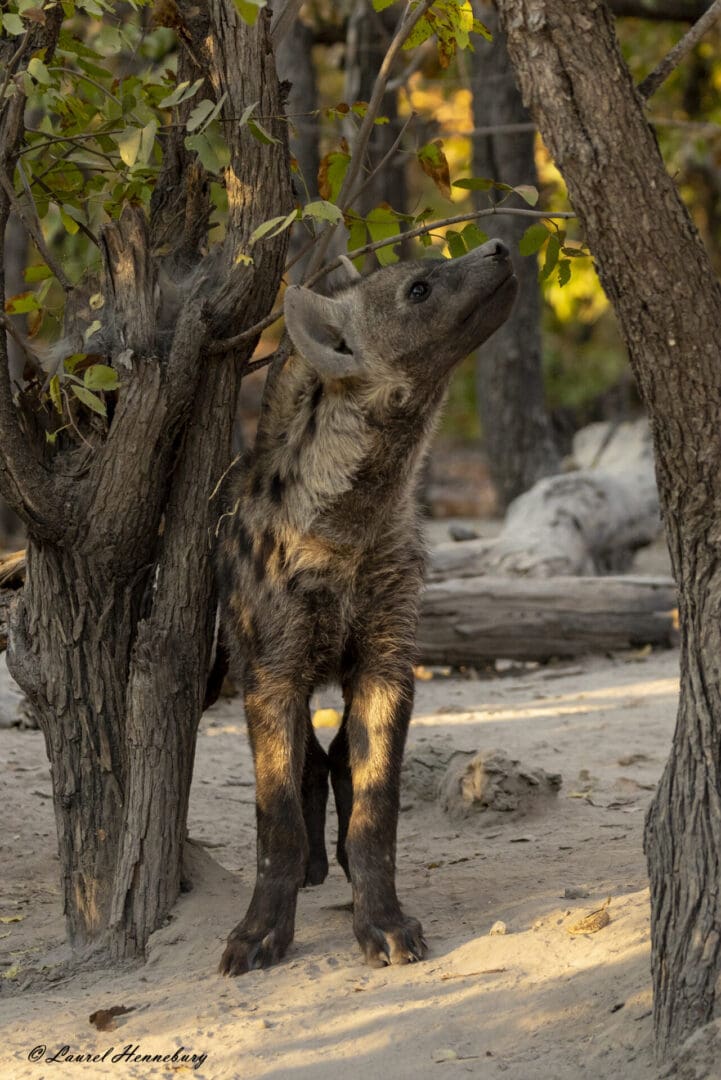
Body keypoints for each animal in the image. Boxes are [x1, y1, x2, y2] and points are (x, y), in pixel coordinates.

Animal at [215, 238, 517, 974]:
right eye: (418, 289)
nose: (498, 246)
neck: (349, 523)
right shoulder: (270, 667)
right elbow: (274, 811)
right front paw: (256, 937)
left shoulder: (386, 655)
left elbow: (377, 800)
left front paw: (384, 923)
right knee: (306, 761)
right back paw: (312, 869)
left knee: (334, 757)